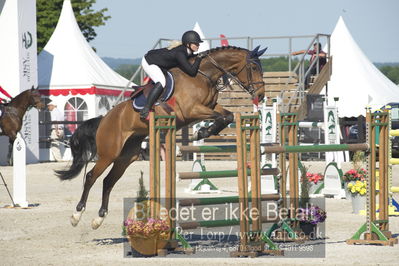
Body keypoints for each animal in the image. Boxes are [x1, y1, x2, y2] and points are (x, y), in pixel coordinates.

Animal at [55, 45, 268, 229]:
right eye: (253, 67)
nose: (261, 95)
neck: (202, 75)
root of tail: (104, 118)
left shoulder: (210, 107)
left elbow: (228, 115)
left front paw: (205, 132)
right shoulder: (192, 110)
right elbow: (220, 116)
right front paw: (202, 132)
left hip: (126, 157)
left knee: (108, 181)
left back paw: (99, 218)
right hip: (109, 153)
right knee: (91, 177)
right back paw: (76, 215)